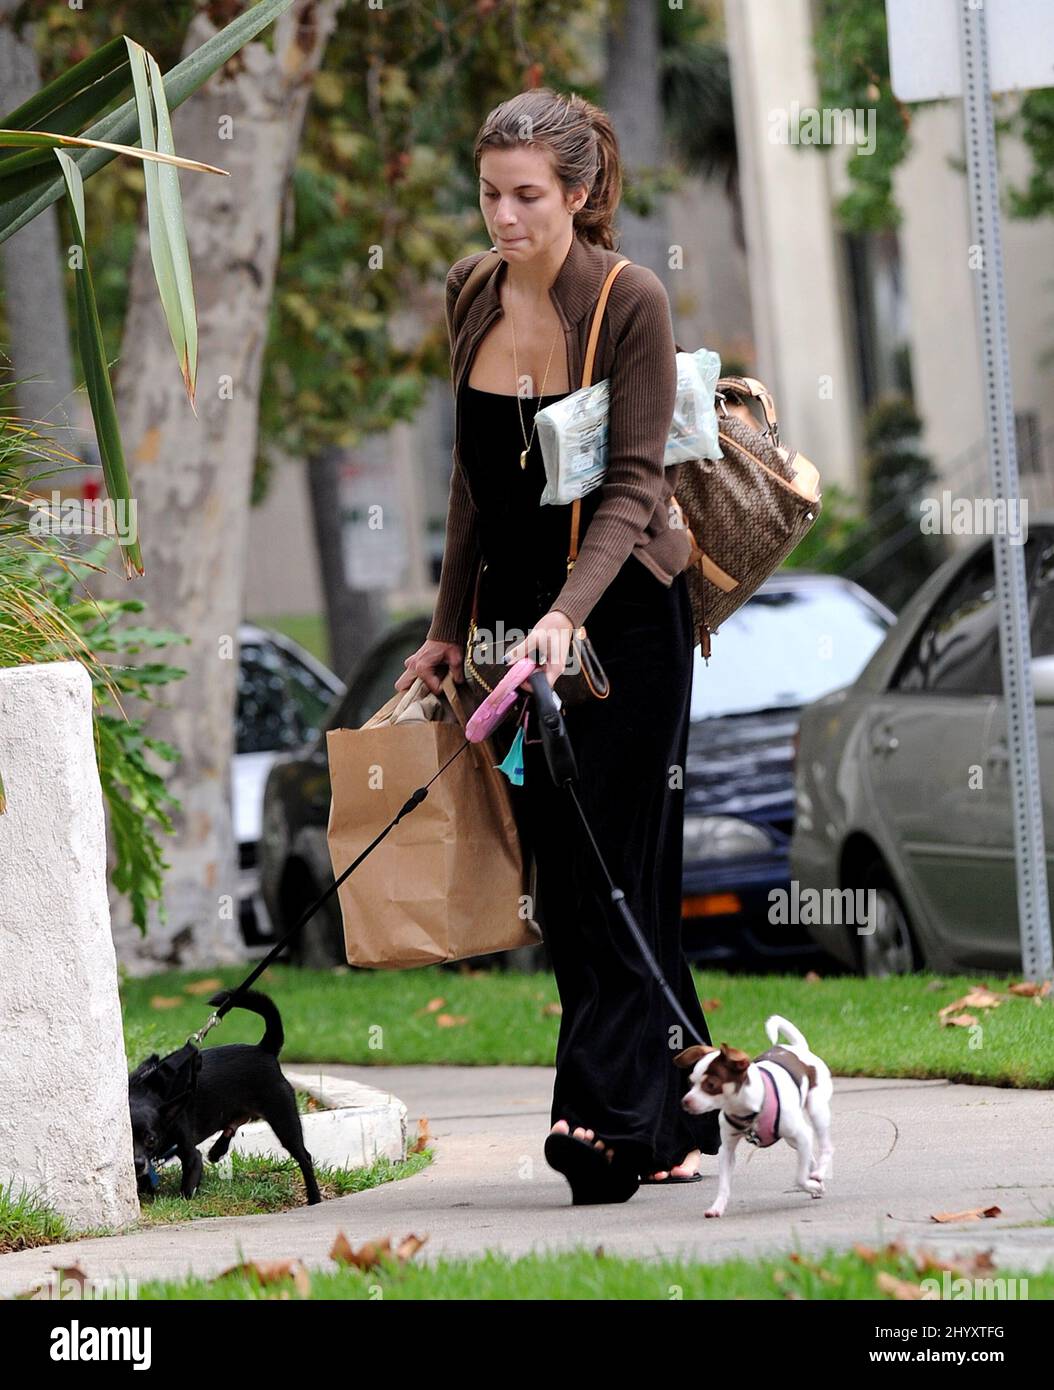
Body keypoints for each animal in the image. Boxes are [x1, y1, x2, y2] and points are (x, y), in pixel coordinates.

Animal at [127, 989, 322, 1206]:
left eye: (151, 1139)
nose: (137, 1163)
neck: (152, 1090)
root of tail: (265, 1048)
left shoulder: (192, 1156)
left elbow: (187, 1186)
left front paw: (182, 1201)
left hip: (284, 1119)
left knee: (304, 1157)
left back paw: (314, 1197)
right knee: (237, 1121)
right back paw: (217, 1149)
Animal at [675, 1011, 834, 1217]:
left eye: (711, 1085)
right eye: (690, 1082)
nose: (685, 1102)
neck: (748, 1111)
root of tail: (799, 1049)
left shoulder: (803, 1133)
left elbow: (799, 1178)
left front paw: (813, 1186)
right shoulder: (726, 1151)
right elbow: (724, 1185)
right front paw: (717, 1207)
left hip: (816, 1110)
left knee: (826, 1147)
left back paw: (819, 1175)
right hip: (792, 1138)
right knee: (808, 1156)